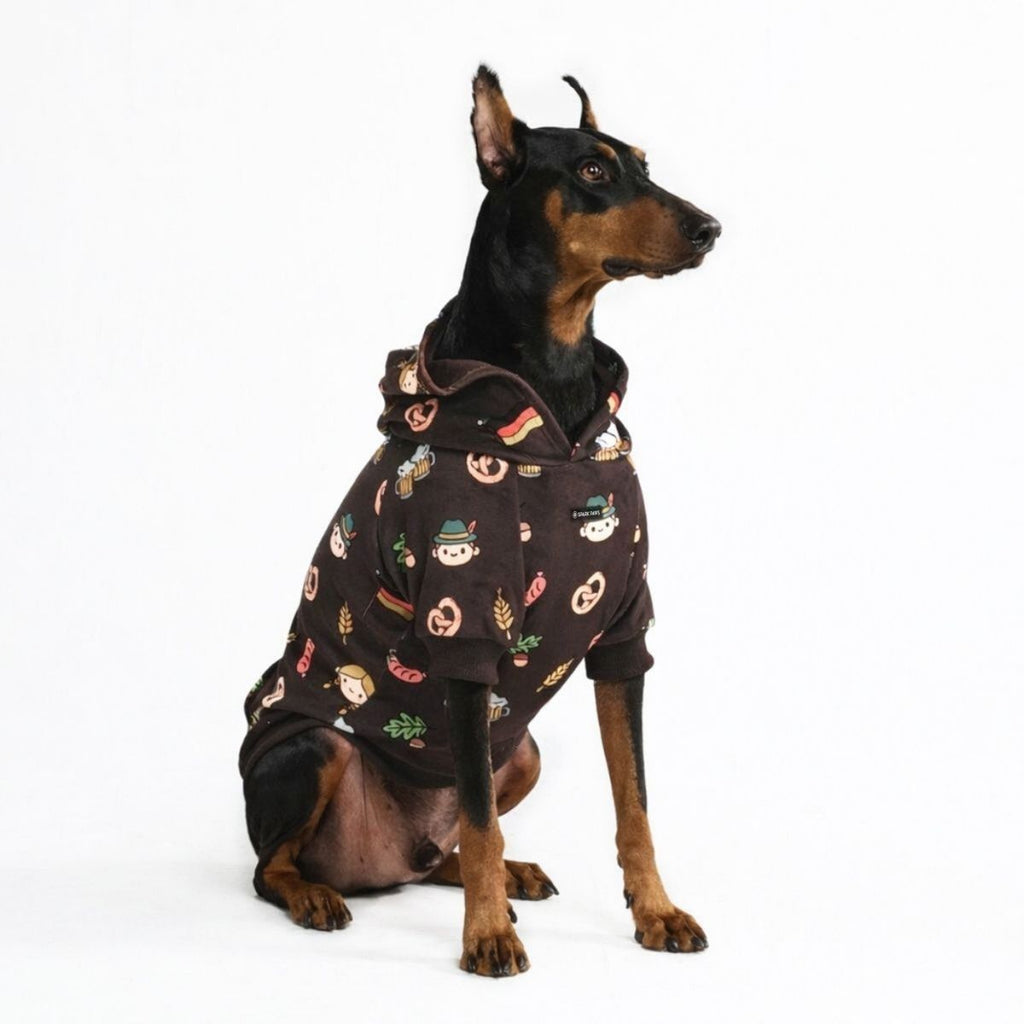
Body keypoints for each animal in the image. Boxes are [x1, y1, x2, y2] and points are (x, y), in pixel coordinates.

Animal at [240, 65, 719, 977]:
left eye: (643, 163)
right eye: (593, 172)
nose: (710, 227)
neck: (555, 394)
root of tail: (382, 866)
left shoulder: (623, 631)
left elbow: (633, 802)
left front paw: (657, 912)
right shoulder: (461, 629)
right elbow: (482, 818)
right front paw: (488, 937)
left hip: (518, 750)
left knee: (454, 846)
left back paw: (502, 876)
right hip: (313, 748)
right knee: (273, 866)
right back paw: (318, 895)